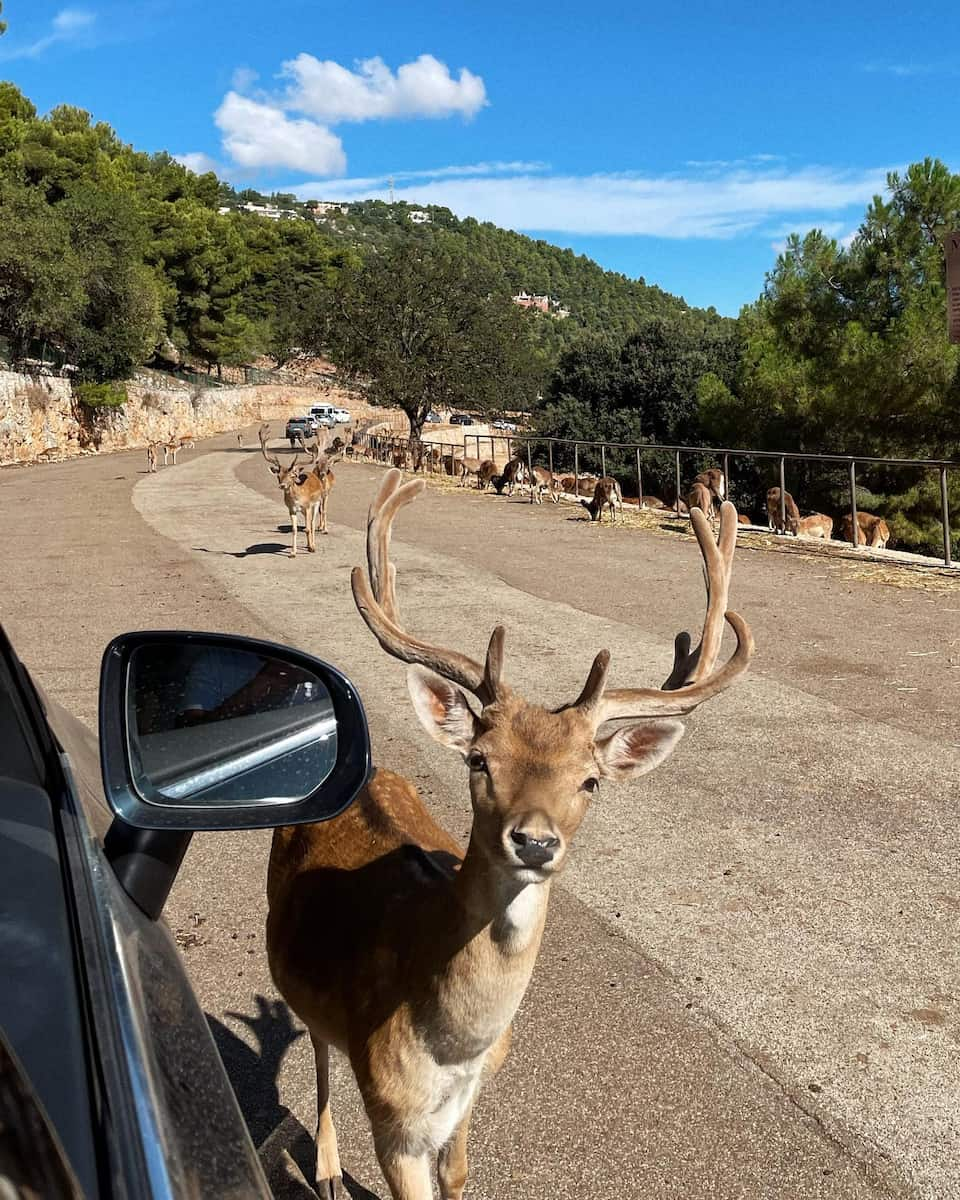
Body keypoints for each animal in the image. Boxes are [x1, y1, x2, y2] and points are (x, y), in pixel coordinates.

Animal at [266, 470, 753, 1200]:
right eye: (479, 761)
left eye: (590, 781)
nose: (535, 842)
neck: (451, 1046)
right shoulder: (392, 1118)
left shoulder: (472, 1095)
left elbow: (460, 1172)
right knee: (318, 1040)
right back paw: (323, 1168)